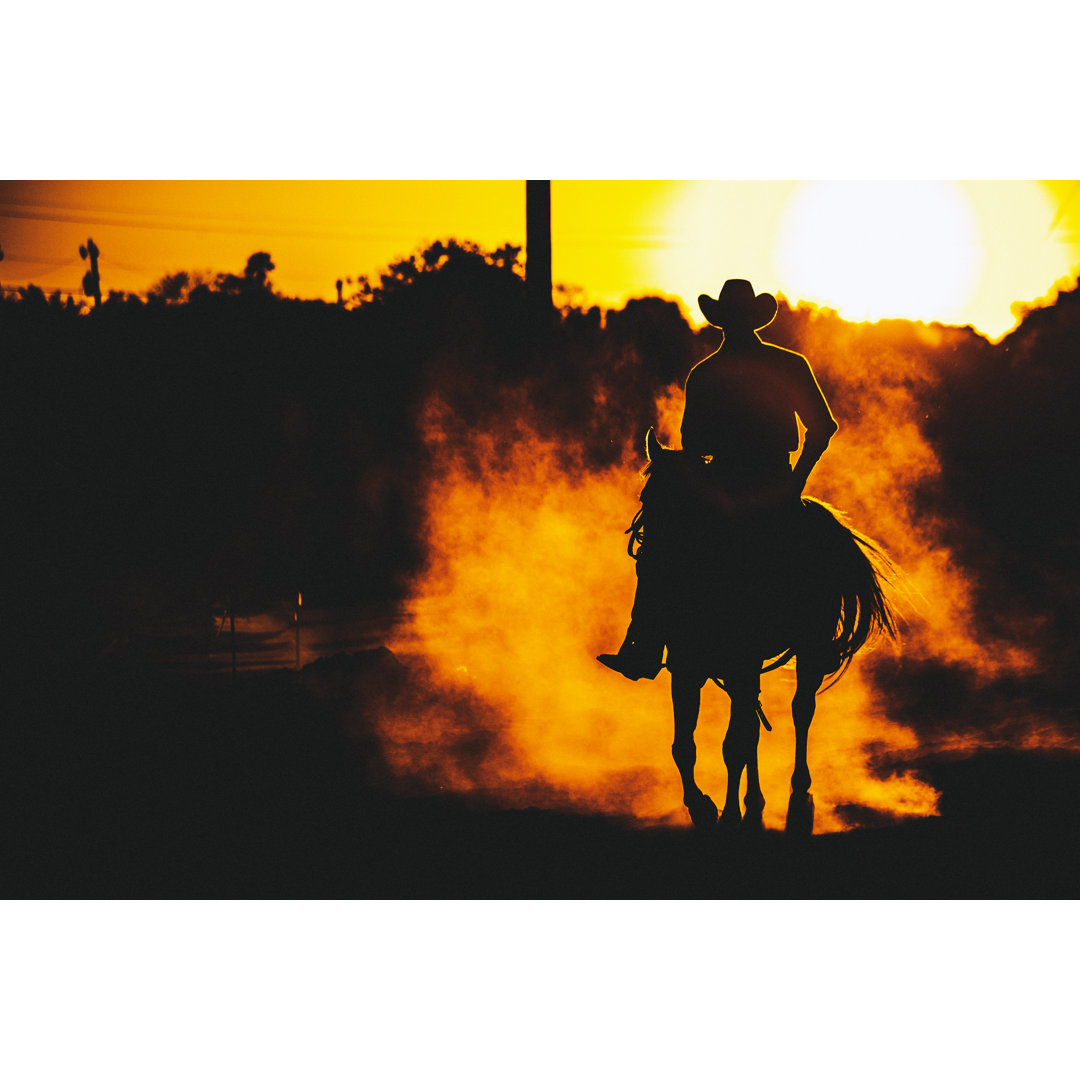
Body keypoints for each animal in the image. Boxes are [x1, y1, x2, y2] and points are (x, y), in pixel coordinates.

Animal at [630, 425, 898, 829]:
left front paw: (727, 814)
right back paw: (754, 801)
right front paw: (703, 807)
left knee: (800, 710)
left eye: (684, 503)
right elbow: (686, 746)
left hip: (808, 647)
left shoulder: (742, 661)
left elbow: (733, 744)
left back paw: (798, 792)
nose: (651, 559)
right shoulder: (687, 666)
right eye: (647, 497)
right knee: (752, 725)